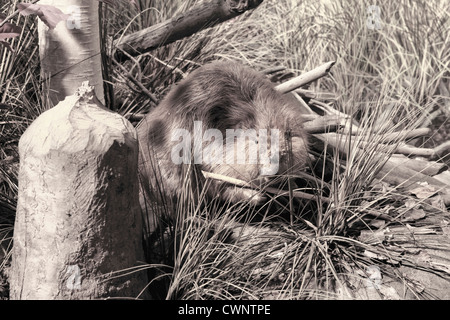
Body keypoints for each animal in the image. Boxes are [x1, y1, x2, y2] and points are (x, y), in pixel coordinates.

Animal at [137, 60, 310, 230]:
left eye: (288, 137)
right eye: (256, 140)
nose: (272, 166)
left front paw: (291, 190)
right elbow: (219, 182)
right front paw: (256, 196)